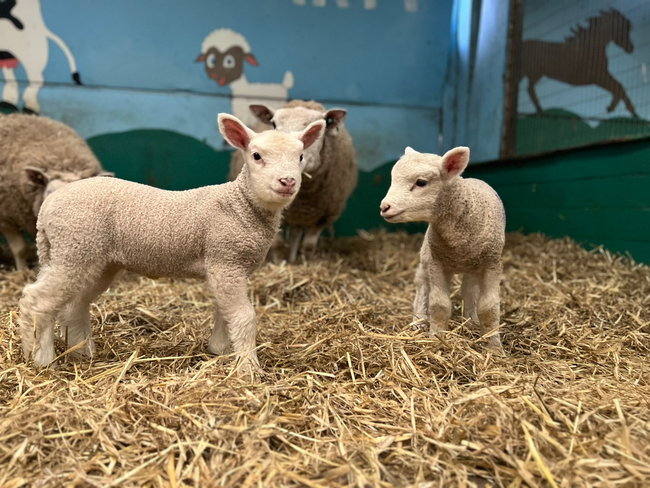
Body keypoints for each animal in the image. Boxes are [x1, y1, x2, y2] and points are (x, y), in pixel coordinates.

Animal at [17, 113, 325, 372]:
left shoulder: (226, 266)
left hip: (95, 259)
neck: (239, 204)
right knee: (37, 300)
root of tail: (47, 209)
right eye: (257, 156)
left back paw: (82, 352)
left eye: (300, 156)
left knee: (75, 304)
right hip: (75, 246)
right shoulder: (226, 260)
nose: (287, 181)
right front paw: (248, 367)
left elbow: (224, 311)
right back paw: (40, 358)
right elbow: (243, 316)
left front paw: (220, 350)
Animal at [230, 100, 358, 262]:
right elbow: (278, 245)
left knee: (296, 235)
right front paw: (279, 263)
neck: (303, 198)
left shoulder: (324, 216)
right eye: (273, 124)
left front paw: (305, 263)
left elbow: (308, 246)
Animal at [380, 146, 506, 353]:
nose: (384, 207)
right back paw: (418, 321)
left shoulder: (492, 264)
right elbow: (439, 305)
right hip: (426, 255)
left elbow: (489, 308)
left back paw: (471, 319)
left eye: (421, 182)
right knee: (422, 285)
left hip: (473, 264)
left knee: (468, 288)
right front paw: (436, 337)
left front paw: (494, 347)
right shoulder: (436, 262)